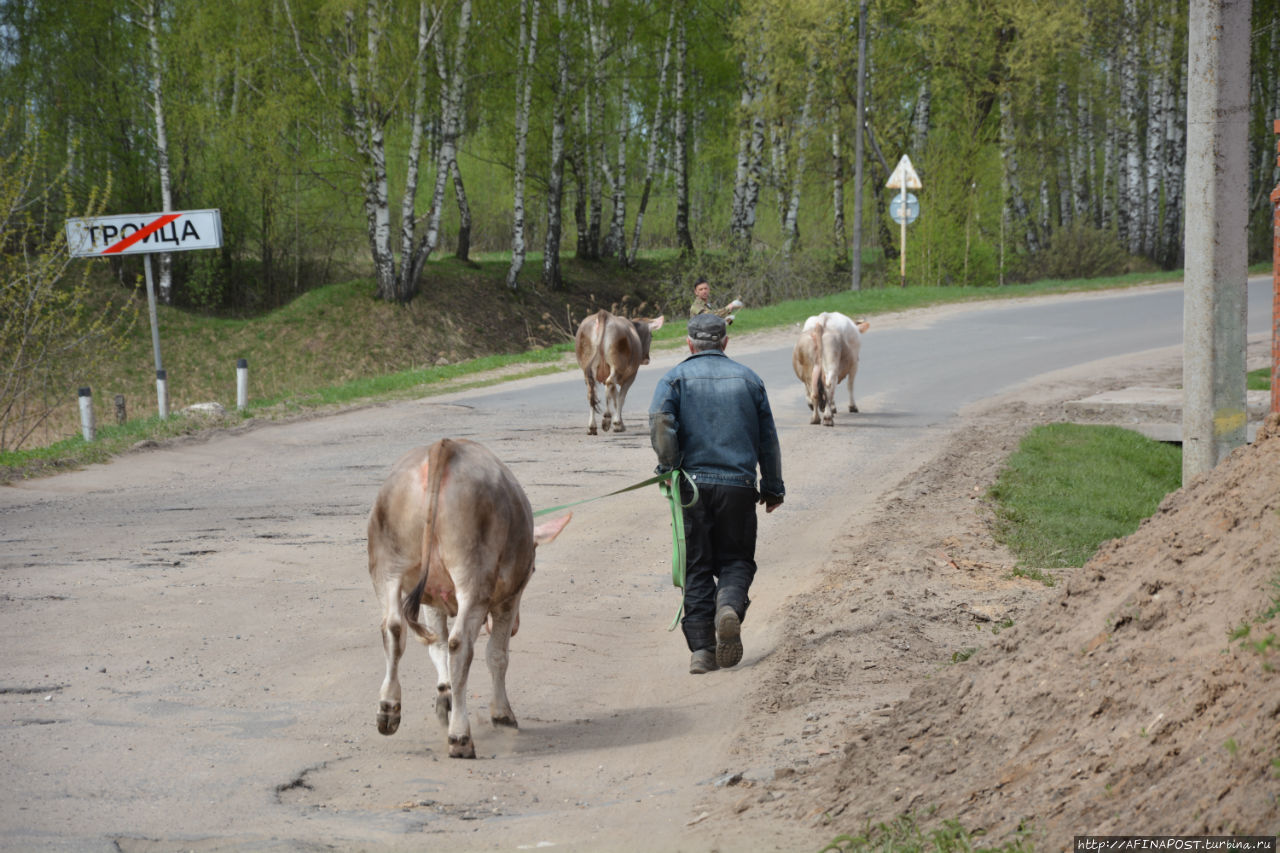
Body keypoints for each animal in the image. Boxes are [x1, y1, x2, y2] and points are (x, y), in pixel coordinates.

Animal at [368, 438, 573, 758]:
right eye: (534, 568)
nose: (517, 627)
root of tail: (444, 447)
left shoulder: (431, 599)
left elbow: (436, 647)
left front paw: (445, 697)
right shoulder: (508, 598)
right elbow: (497, 655)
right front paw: (501, 714)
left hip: (387, 565)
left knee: (394, 629)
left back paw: (389, 709)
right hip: (473, 576)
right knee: (460, 644)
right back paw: (460, 736)